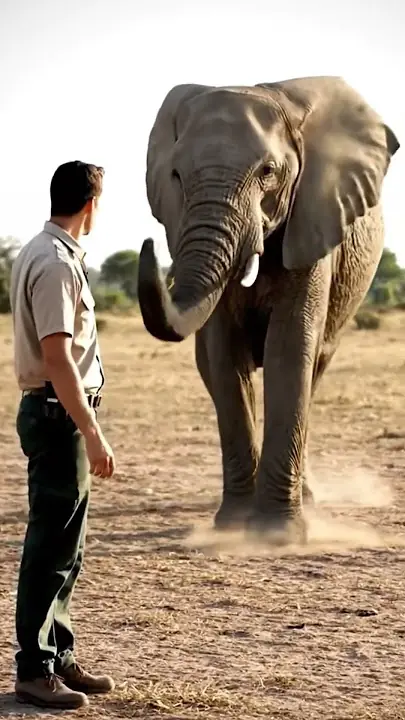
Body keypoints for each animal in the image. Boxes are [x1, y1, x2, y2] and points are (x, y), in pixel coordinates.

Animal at [137, 76, 399, 544]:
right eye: (176, 176)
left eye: (268, 172)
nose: (146, 245)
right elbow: (226, 358)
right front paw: (233, 525)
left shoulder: (313, 218)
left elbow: (289, 347)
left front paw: (277, 535)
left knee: (313, 371)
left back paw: (307, 499)